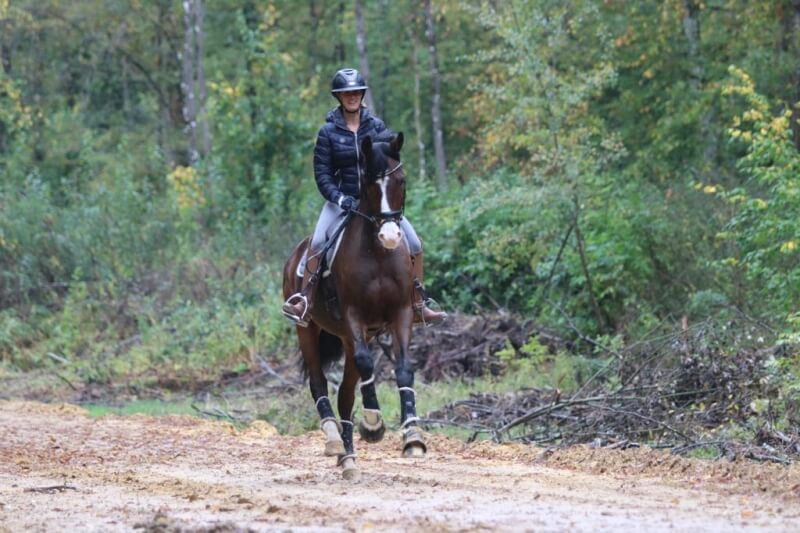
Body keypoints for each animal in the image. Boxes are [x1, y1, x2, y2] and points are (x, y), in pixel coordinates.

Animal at [282, 132, 426, 481]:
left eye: (401, 180)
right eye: (369, 182)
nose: (390, 235)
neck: (378, 255)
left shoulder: (401, 313)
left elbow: (403, 367)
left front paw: (412, 435)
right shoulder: (352, 315)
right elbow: (366, 363)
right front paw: (373, 423)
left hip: (348, 338)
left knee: (346, 395)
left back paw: (347, 458)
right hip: (309, 330)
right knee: (319, 383)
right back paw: (335, 441)